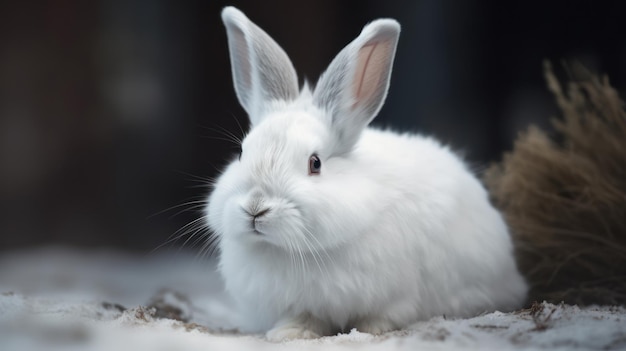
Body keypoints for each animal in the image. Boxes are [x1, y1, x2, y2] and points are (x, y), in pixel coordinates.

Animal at [207, 5, 524, 340]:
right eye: (241, 153)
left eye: (315, 163)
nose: (256, 208)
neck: (289, 251)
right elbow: (304, 318)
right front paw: (288, 333)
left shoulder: (398, 296)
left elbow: (383, 315)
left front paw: (370, 331)